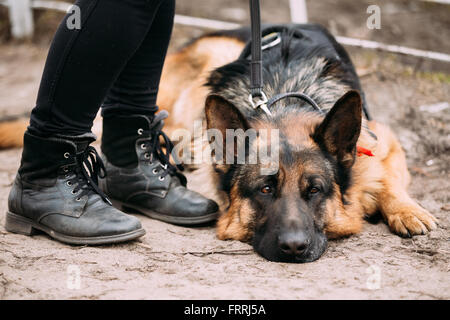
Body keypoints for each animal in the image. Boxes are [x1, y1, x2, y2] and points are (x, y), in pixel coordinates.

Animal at [0, 23, 436, 262]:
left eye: (315, 191)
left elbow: (389, 181)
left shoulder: (384, 143)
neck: (287, 97)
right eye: (265, 189)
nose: (294, 248)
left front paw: (406, 209)